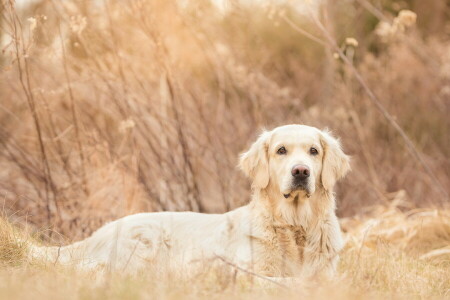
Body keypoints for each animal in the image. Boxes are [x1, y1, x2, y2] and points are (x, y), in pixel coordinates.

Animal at [29, 124, 350, 278]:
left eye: (313, 151)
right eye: (281, 150)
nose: (301, 171)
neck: (295, 226)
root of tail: (96, 235)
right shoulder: (252, 274)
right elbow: (286, 281)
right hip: (145, 241)